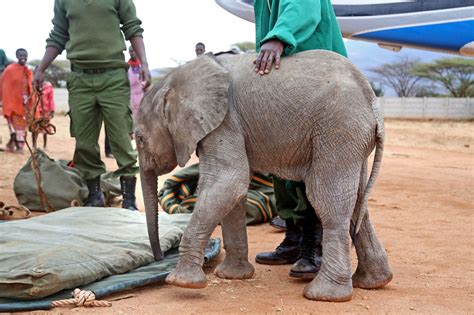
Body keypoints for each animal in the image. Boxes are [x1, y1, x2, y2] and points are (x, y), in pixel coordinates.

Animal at [134, 50, 392, 302]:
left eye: (139, 138)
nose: (158, 257)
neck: (178, 77)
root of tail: (372, 102)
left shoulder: (225, 122)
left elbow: (228, 182)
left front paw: (181, 282)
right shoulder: (232, 126)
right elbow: (234, 191)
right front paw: (232, 275)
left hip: (339, 130)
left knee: (328, 203)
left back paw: (324, 295)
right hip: (351, 138)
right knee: (357, 204)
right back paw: (374, 282)